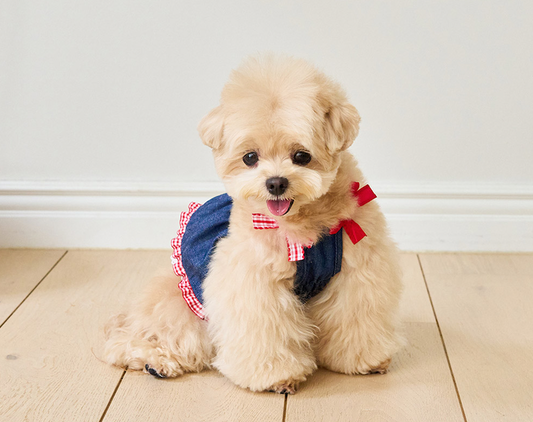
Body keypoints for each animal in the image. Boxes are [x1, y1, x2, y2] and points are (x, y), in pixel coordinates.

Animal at [104, 54, 402, 394]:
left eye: (302, 156)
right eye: (250, 157)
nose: (276, 183)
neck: (301, 223)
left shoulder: (357, 274)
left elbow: (357, 319)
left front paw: (364, 360)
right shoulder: (253, 284)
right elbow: (265, 330)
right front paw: (278, 377)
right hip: (180, 307)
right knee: (145, 337)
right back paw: (156, 361)